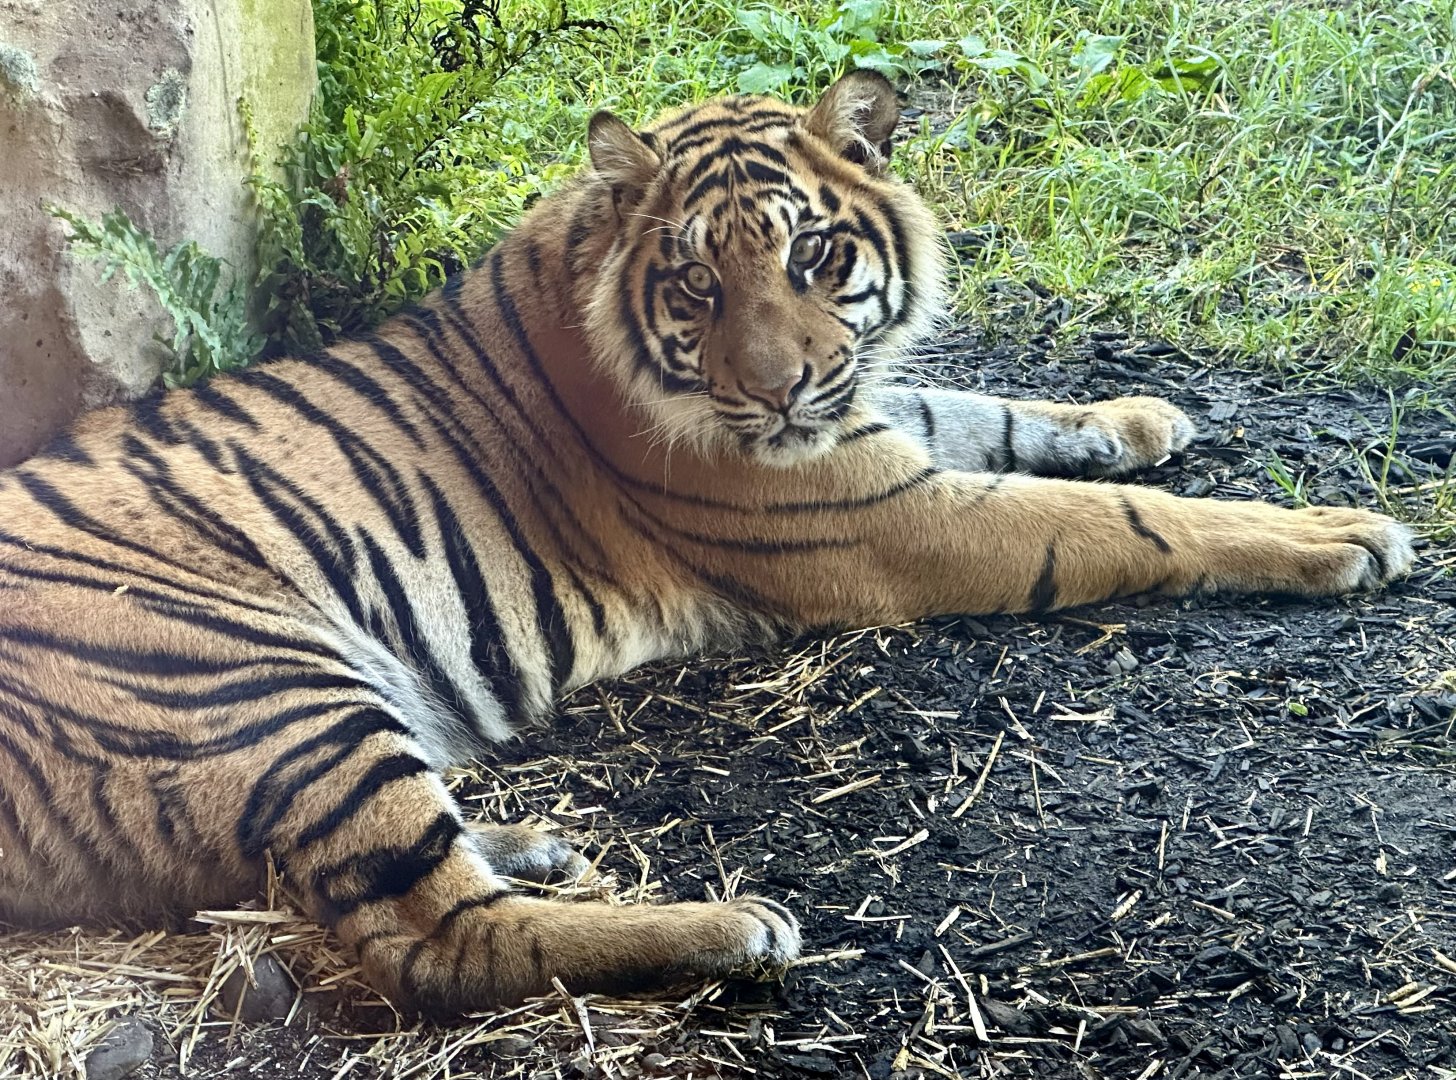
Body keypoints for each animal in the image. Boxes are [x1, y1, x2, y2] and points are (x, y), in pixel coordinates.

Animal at [0, 71, 1414, 1015]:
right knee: (437, 937)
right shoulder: (878, 514)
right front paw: (1343, 533)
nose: (780, 391)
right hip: (264, 676)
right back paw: (731, 928)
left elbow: (989, 408)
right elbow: (1113, 521)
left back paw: (532, 841)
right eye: (694, 282)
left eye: (815, 252)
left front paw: (1135, 416)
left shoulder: (868, 430)